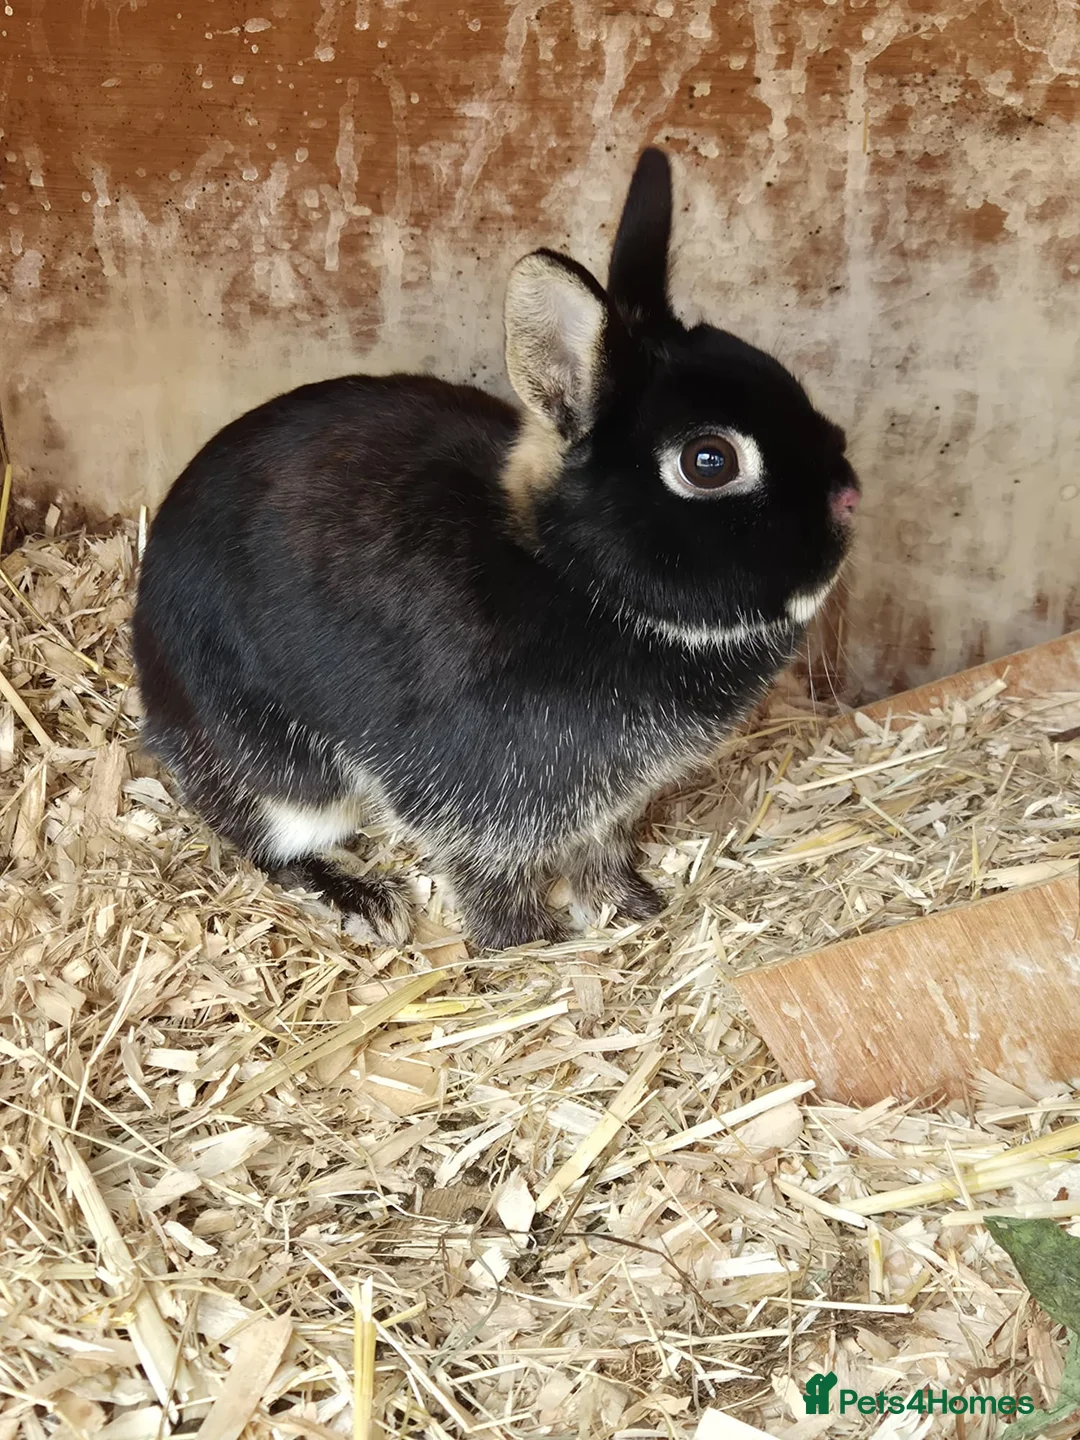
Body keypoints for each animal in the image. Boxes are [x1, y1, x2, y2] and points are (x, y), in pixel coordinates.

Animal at [132, 147, 860, 951]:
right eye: (710, 462)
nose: (850, 498)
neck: (573, 577)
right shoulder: (476, 790)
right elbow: (488, 869)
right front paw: (526, 942)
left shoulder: (601, 803)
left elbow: (599, 846)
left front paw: (627, 906)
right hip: (278, 772)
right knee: (261, 841)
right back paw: (362, 899)